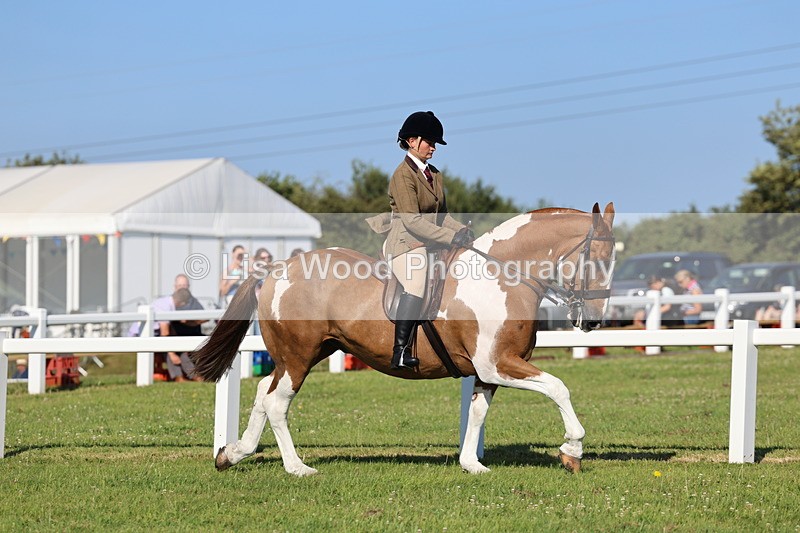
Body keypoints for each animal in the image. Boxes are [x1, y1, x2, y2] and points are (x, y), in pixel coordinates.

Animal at [191, 202, 616, 476]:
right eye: (596, 258)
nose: (594, 320)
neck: (501, 276)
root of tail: (278, 267)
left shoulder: (489, 370)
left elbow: (478, 413)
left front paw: (472, 464)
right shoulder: (499, 363)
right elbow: (558, 388)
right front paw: (572, 450)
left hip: (302, 354)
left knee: (264, 392)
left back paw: (233, 453)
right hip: (298, 357)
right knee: (278, 403)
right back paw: (297, 468)